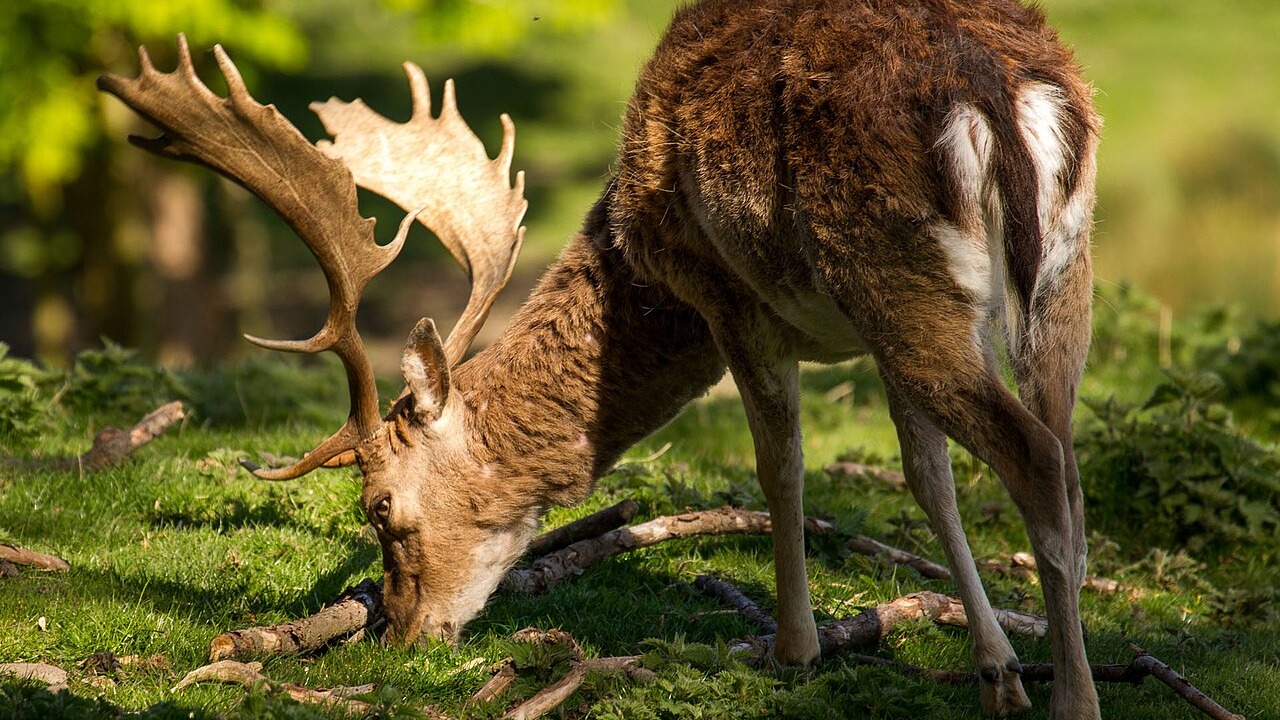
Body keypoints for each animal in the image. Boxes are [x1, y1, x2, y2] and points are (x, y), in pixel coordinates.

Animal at [98, 0, 1101, 716]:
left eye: (379, 508)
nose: (403, 637)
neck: (637, 255)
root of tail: (997, 91)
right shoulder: (867, 343)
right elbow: (926, 476)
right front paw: (994, 670)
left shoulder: (729, 298)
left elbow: (780, 469)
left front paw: (794, 651)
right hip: (1048, 281)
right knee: (1064, 453)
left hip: (893, 272)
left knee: (1034, 456)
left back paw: (1076, 701)